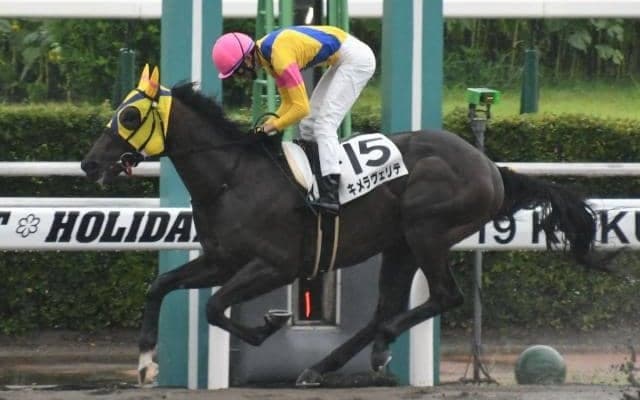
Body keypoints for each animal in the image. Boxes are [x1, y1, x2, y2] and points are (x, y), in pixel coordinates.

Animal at [81, 65, 601, 387]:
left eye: (129, 114)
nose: (89, 163)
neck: (233, 177)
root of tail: (490, 167)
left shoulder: (276, 265)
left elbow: (214, 307)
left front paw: (268, 326)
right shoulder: (221, 259)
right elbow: (162, 286)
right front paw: (145, 365)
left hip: (426, 230)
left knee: (443, 296)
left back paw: (376, 347)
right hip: (400, 243)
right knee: (383, 309)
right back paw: (331, 364)